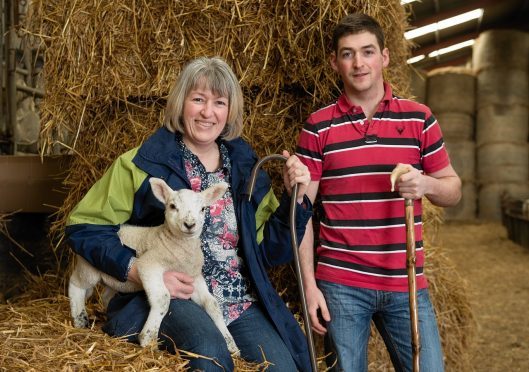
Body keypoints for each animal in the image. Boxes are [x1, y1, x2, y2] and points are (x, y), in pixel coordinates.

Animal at [68, 179, 239, 354]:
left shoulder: (193, 277)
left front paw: (231, 344)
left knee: (104, 294)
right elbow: (163, 298)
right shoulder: (149, 264)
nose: (189, 224)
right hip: (89, 266)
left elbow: (212, 304)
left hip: (114, 278)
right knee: (76, 284)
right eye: (172, 206)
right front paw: (148, 338)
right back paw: (80, 318)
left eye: (203, 208)